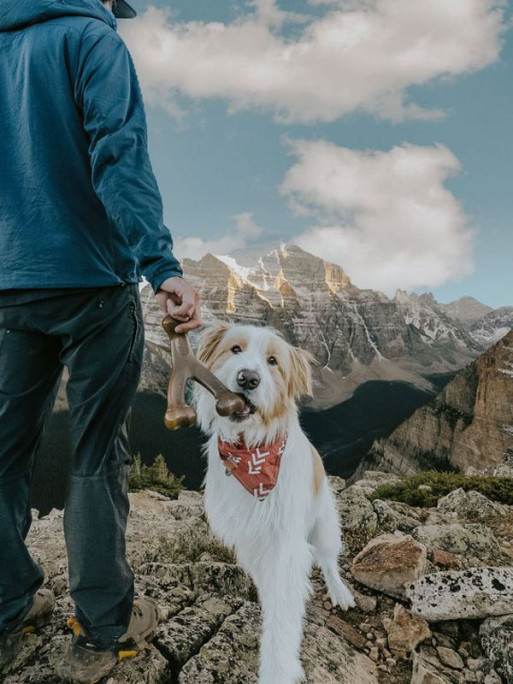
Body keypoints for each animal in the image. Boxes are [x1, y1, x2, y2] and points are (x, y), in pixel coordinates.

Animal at [194, 322, 354, 684]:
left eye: (272, 361)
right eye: (235, 349)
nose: (248, 379)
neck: (250, 450)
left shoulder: (284, 543)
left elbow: (283, 614)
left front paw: (277, 670)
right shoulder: (246, 537)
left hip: (324, 525)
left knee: (328, 560)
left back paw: (339, 592)